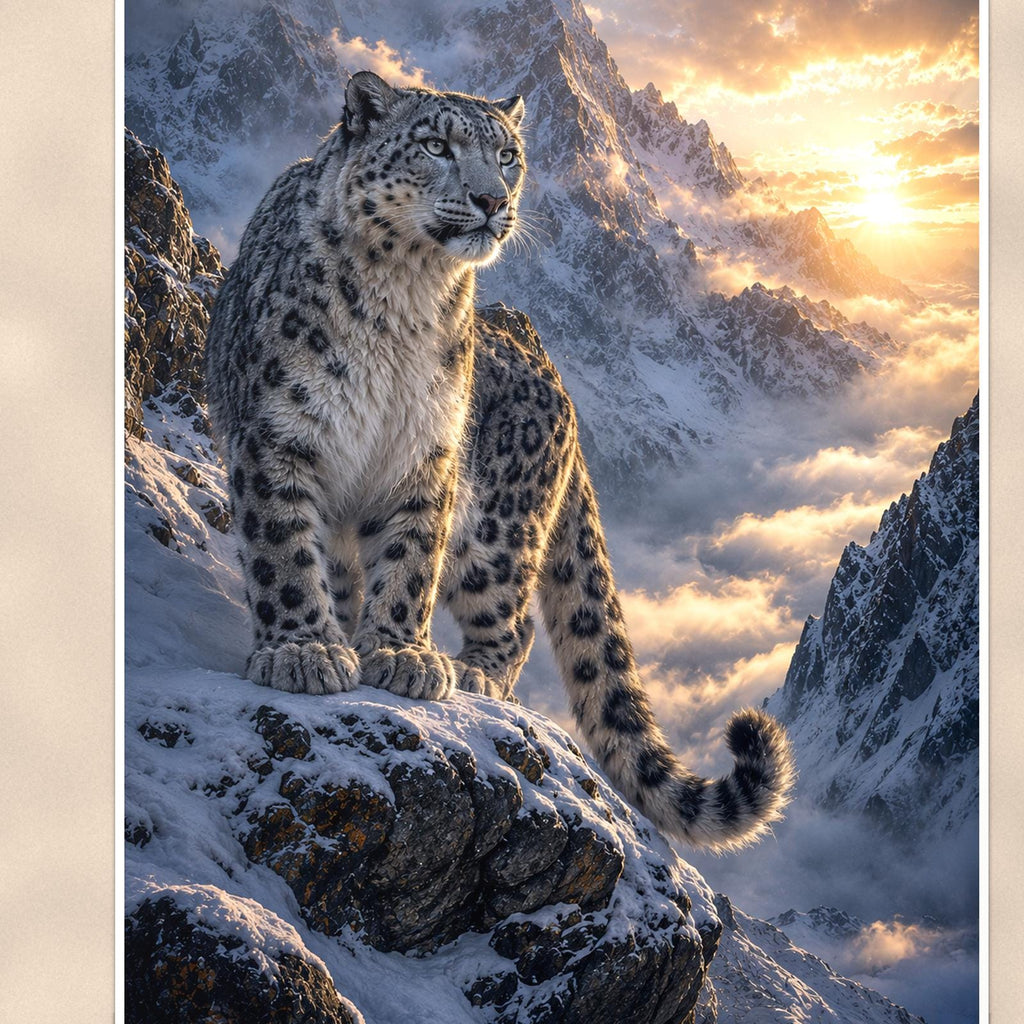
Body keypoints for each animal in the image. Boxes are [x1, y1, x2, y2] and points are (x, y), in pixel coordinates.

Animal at [204, 71, 794, 850]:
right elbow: (284, 550)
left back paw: (473, 673)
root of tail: (562, 393)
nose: (492, 200)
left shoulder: (426, 454)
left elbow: (409, 562)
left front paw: (399, 655)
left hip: (494, 537)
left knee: (514, 623)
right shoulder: (279, 435)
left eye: (508, 155)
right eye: (436, 146)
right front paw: (306, 650)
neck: (404, 299)